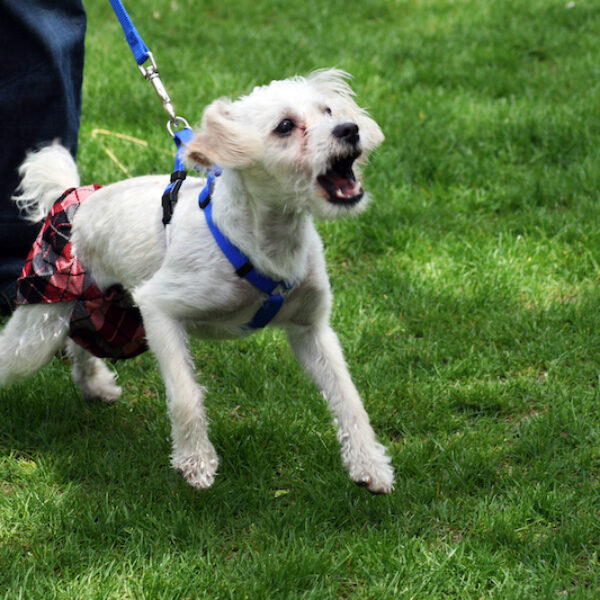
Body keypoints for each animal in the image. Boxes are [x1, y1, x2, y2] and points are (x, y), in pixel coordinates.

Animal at [0, 69, 394, 492]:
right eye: (285, 126)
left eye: (329, 110)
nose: (350, 129)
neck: (264, 245)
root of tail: (71, 196)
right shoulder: (159, 309)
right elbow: (185, 394)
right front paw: (196, 461)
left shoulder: (312, 329)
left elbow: (347, 394)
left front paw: (370, 463)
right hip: (38, 328)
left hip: (105, 319)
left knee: (80, 341)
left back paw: (95, 384)